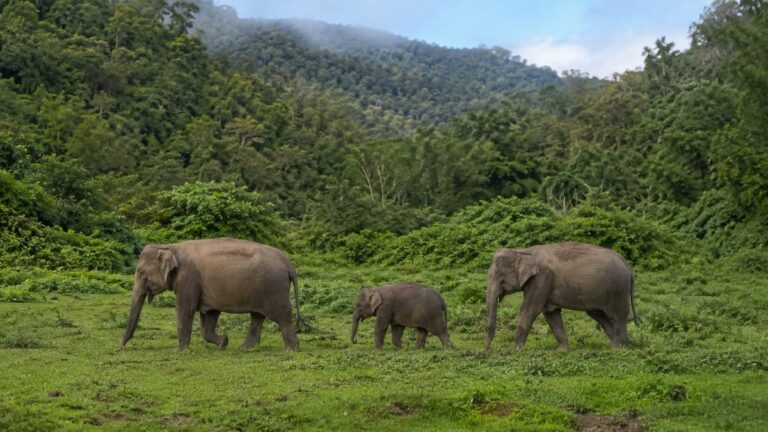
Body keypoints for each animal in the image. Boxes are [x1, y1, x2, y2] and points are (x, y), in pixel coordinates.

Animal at [119, 238, 303, 351]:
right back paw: (246, 348)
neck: (170, 246)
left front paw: (179, 350)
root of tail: (289, 263)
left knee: (283, 316)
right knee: (257, 317)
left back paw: (291, 349)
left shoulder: (188, 279)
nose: (119, 347)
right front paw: (224, 342)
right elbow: (209, 315)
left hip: (275, 288)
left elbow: (185, 309)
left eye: (141, 273)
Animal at [485, 242, 637, 350]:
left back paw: (621, 348)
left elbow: (530, 310)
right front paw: (563, 350)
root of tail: (627, 265)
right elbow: (551, 313)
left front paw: (515, 350)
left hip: (617, 290)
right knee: (599, 315)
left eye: (500, 276)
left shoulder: (541, 279)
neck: (522, 251)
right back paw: (615, 346)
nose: (487, 349)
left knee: (617, 316)